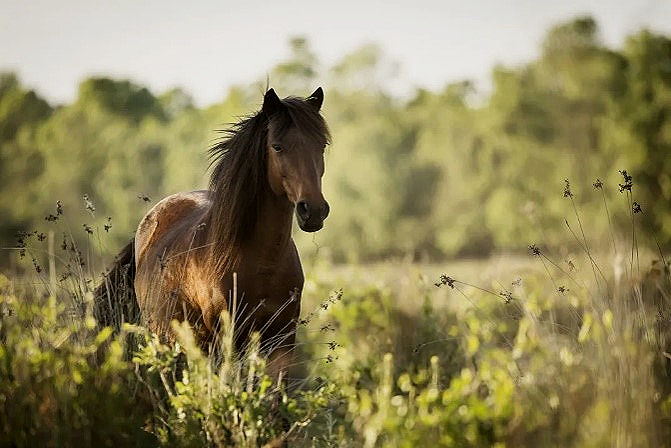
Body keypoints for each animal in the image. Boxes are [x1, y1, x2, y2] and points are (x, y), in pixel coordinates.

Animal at [94, 87, 330, 377]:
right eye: (277, 146)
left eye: (321, 146)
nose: (314, 210)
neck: (261, 261)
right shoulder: (222, 339)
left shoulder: (281, 340)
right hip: (165, 338)